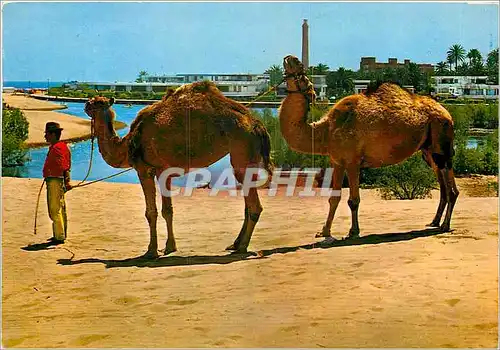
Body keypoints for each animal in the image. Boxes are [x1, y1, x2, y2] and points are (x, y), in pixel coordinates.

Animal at [86, 81, 274, 258]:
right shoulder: (164, 172)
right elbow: (167, 211)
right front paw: (169, 247)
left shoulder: (144, 169)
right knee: (247, 203)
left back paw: (242, 247)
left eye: (96, 102)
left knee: (254, 206)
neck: (126, 146)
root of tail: (257, 124)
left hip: (242, 148)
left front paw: (151, 251)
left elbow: (151, 212)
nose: (86, 105)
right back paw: (235, 244)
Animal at [280, 54, 458, 239]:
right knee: (442, 183)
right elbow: (334, 198)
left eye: (302, 76)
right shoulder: (337, 162)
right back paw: (434, 222)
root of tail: (448, 114)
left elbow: (353, 200)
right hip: (428, 150)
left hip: (441, 138)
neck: (326, 131)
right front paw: (324, 231)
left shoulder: (352, 161)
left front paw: (353, 232)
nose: (290, 58)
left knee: (451, 187)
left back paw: (445, 225)